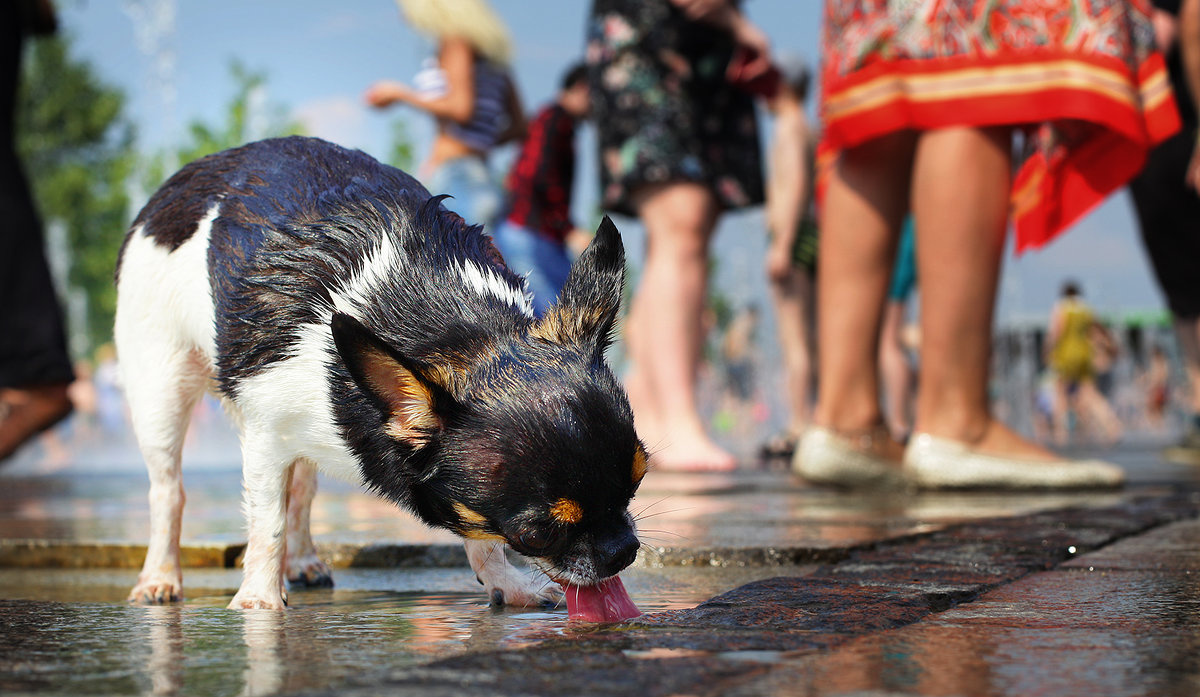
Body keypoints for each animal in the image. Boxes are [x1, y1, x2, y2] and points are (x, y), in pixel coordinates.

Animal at [114, 134, 648, 614]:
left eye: (638, 481)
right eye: (537, 532)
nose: (623, 552)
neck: (453, 329)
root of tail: (187, 177)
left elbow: (473, 527)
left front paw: (503, 580)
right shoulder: (265, 438)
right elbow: (266, 522)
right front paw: (259, 598)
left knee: (300, 489)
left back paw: (301, 560)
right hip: (160, 388)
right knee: (169, 490)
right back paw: (161, 576)